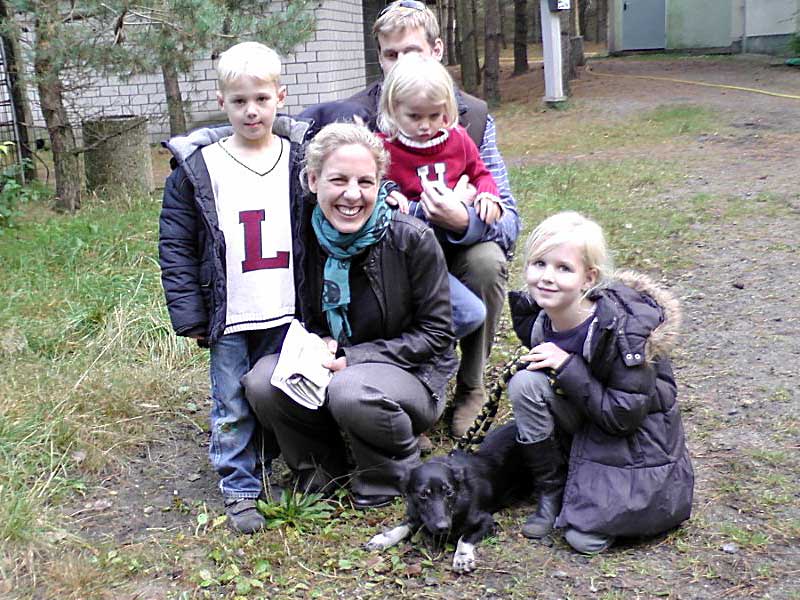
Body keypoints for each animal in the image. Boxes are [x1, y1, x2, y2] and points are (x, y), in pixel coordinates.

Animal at [366, 422, 533, 573]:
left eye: (449, 492)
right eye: (423, 494)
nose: (443, 528)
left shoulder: (486, 521)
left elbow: (464, 538)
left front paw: (462, 558)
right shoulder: (418, 514)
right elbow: (403, 525)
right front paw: (384, 538)